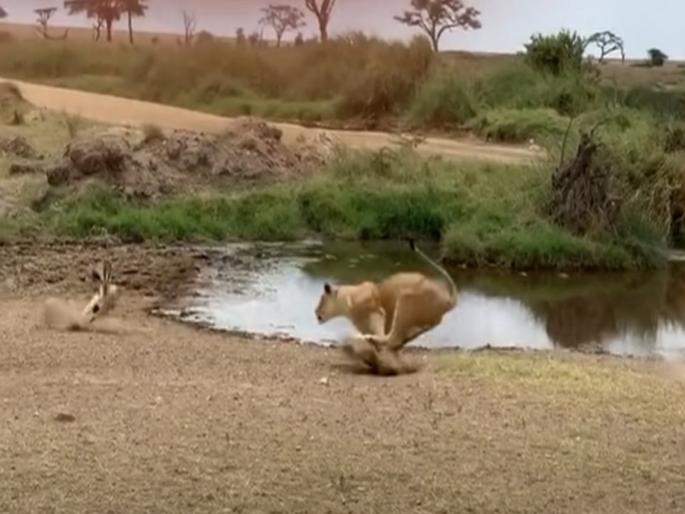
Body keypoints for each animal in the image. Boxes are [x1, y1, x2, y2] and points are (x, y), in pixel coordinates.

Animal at [315, 240, 458, 374]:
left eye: (322, 299)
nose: (316, 312)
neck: (348, 300)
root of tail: (447, 299)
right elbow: (389, 348)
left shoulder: (378, 313)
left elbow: (382, 335)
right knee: (394, 341)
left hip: (405, 301)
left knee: (390, 338)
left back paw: (362, 340)